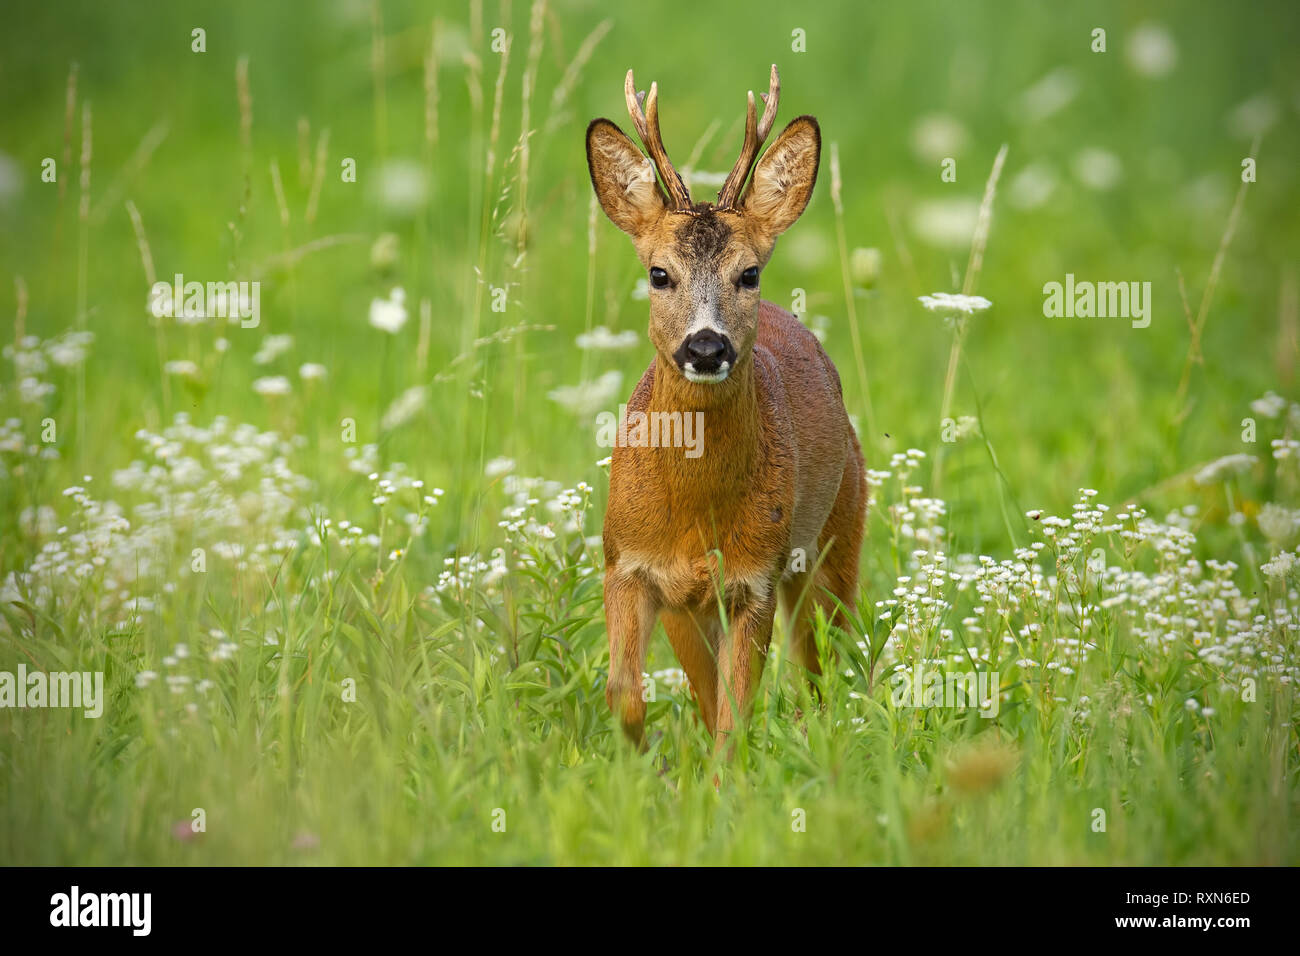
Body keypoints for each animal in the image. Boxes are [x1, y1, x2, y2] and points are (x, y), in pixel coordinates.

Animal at [587, 65, 868, 754]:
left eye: (749, 273)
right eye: (659, 273)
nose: (707, 346)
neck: (695, 513)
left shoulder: (754, 580)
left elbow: (734, 719)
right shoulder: (626, 564)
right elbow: (626, 692)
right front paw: (640, 760)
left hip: (838, 532)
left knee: (825, 664)